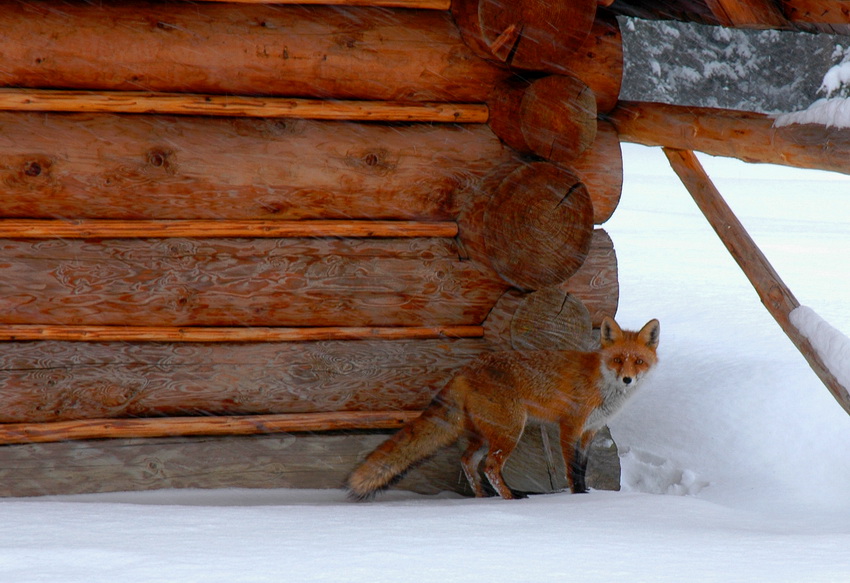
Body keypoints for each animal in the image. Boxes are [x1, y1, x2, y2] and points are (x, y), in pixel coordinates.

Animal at [344, 318, 656, 500]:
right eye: (618, 360)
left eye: (638, 361)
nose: (627, 379)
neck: (603, 386)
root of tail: (465, 370)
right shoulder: (570, 426)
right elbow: (571, 467)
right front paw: (577, 497)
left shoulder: (590, 430)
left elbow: (583, 465)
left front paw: (586, 492)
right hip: (510, 431)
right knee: (490, 466)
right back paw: (509, 496)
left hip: (487, 434)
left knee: (468, 461)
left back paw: (484, 496)